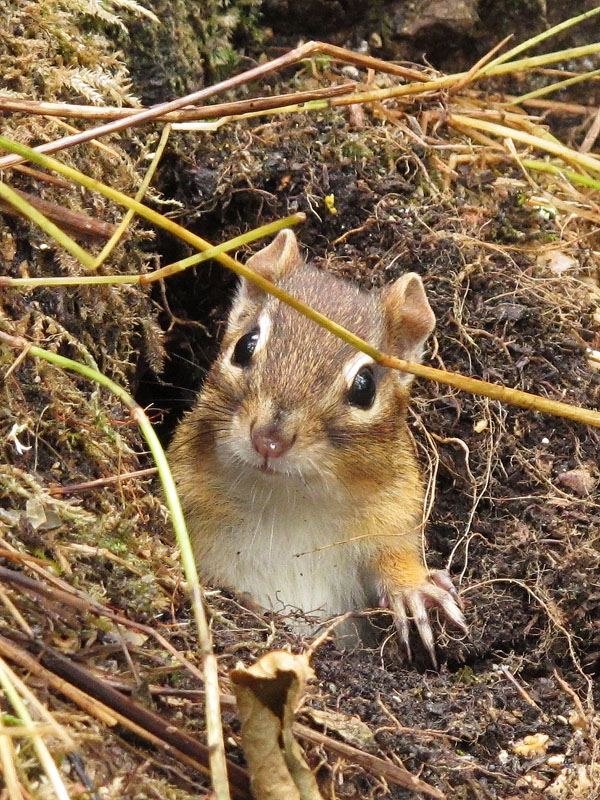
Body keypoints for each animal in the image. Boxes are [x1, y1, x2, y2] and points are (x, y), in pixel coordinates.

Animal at [167, 229, 467, 665]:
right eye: (244, 346)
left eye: (364, 387)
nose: (269, 440)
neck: (287, 500)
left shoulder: (392, 515)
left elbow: (395, 557)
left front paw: (413, 588)